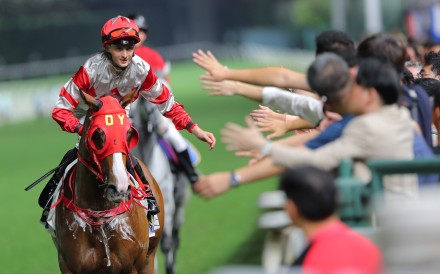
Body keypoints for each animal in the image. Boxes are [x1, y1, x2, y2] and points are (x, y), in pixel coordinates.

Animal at [51, 93, 164, 272]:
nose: (120, 188)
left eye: (129, 133)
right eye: (97, 134)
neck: (99, 214)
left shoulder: (131, 266)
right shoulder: (68, 266)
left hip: (149, 257)